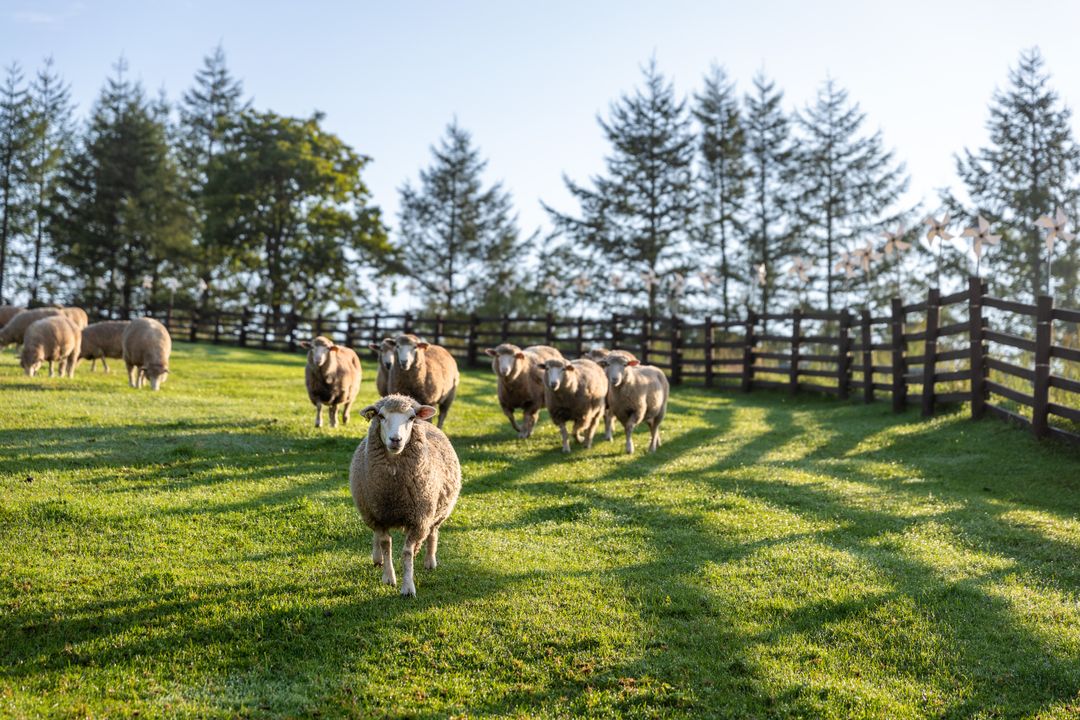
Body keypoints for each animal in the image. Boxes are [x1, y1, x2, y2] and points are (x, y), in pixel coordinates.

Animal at [349, 395, 460, 595]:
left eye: (411, 417)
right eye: (381, 416)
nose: (396, 439)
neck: (394, 492)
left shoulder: (419, 519)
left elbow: (407, 552)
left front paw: (408, 587)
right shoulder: (379, 515)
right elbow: (385, 544)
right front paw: (388, 577)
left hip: (439, 510)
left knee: (433, 532)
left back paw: (430, 561)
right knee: (376, 538)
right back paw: (377, 558)